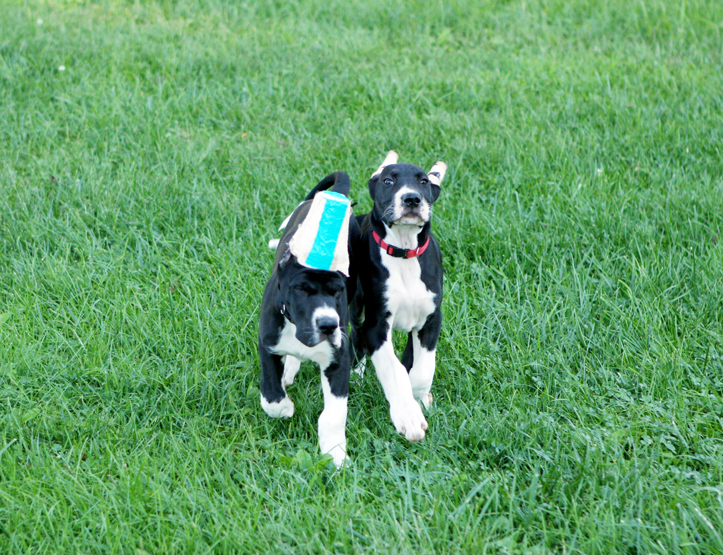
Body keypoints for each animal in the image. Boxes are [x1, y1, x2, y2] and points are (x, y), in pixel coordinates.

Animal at [260, 172, 356, 466]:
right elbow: (270, 396)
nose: (327, 325)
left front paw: (335, 452)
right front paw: (285, 408)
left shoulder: (338, 359)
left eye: (338, 291)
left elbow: (335, 414)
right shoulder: (268, 344)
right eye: (302, 289)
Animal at [350, 151, 446, 444]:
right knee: (355, 339)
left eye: (424, 181)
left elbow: (422, 369)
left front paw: (419, 399)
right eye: (388, 181)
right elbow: (393, 371)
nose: (411, 199)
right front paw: (407, 415)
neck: (404, 252)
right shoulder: (376, 325)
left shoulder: (431, 320)